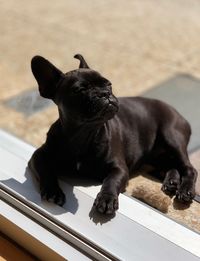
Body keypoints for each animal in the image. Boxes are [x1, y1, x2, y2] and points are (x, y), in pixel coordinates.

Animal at [28, 53, 197, 213]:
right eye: (80, 90)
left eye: (109, 85)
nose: (104, 93)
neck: (84, 134)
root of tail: (178, 113)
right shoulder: (39, 155)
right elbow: (46, 170)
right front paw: (53, 190)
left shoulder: (119, 168)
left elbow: (111, 181)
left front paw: (106, 199)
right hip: (156, 156)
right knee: (171, 165)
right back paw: (172, 182)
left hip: (171, 137)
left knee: (188, 168)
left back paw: (185, 190)